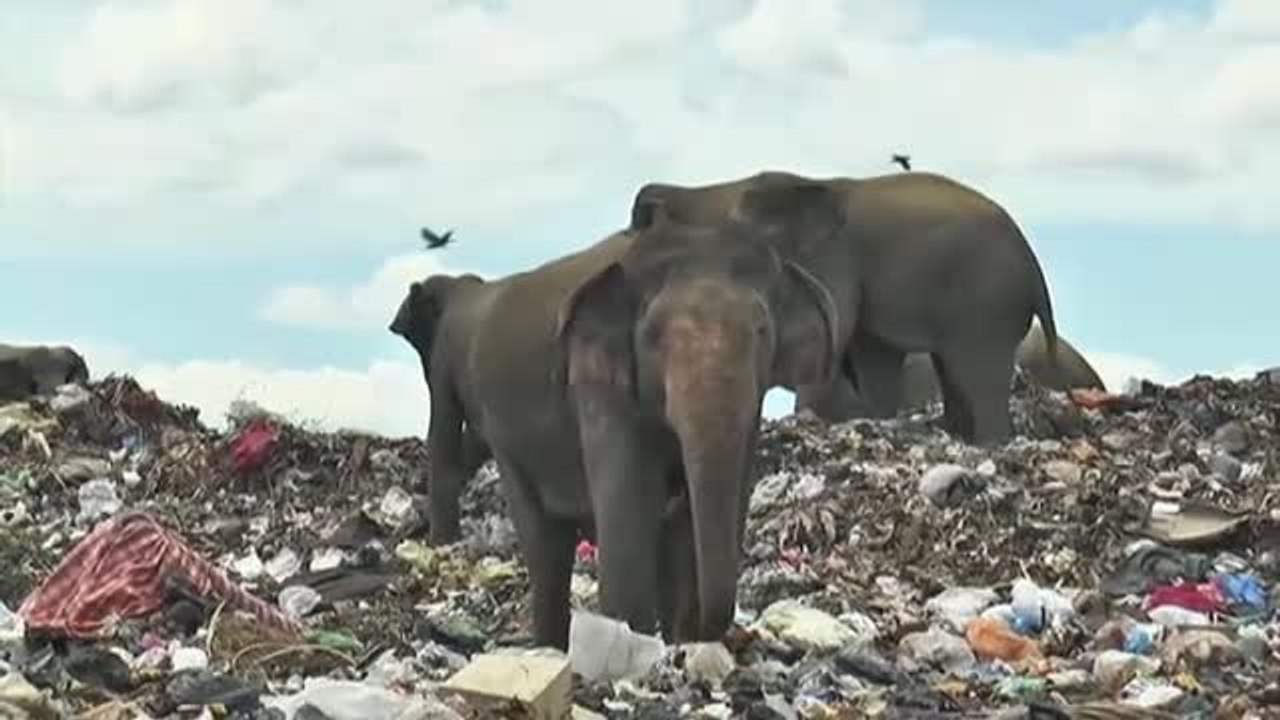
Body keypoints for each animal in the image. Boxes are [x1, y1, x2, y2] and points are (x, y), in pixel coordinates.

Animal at [435, 196, 838, 650]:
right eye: (654, 337)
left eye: (761, 330)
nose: (701, 633)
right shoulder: (597, 385)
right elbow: (631, 500)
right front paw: (632, 638)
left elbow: (725, 496)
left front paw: (681, 641)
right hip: (505, 438)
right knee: (546, 542)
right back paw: (552, 647)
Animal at [630, 169, 1060, 445]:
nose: (646, 203)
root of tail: (1035, 269)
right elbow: (873, 353)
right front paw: (880, 421)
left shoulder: (834, 260)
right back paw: (958, 435)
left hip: (987, 303)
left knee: (977, 373)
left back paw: (991, 444)